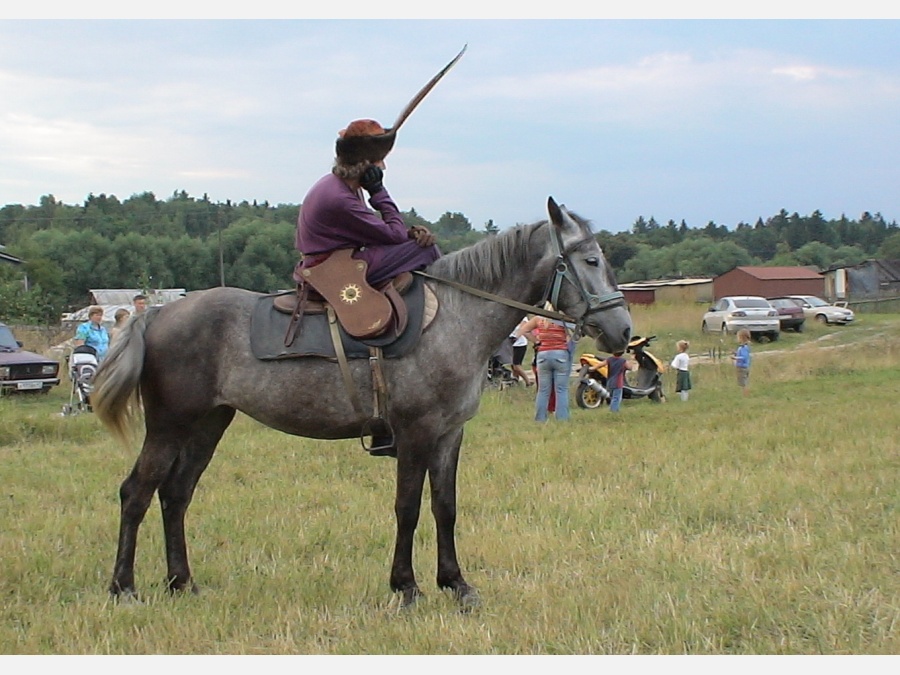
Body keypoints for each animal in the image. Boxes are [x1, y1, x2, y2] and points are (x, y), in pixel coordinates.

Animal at [89, 194, 624, 608]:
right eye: (590, 261)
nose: (621, 331)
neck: (456, 316)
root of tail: (157, 314)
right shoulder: (415, 432)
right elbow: (407, 507)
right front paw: (406, 588)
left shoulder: (449, 435)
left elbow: (445, 507)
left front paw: (456, 584)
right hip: (169, 426)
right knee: (136, 493)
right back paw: (124, 588)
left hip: (208, 424)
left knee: (176, 494)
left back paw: (182, 583)